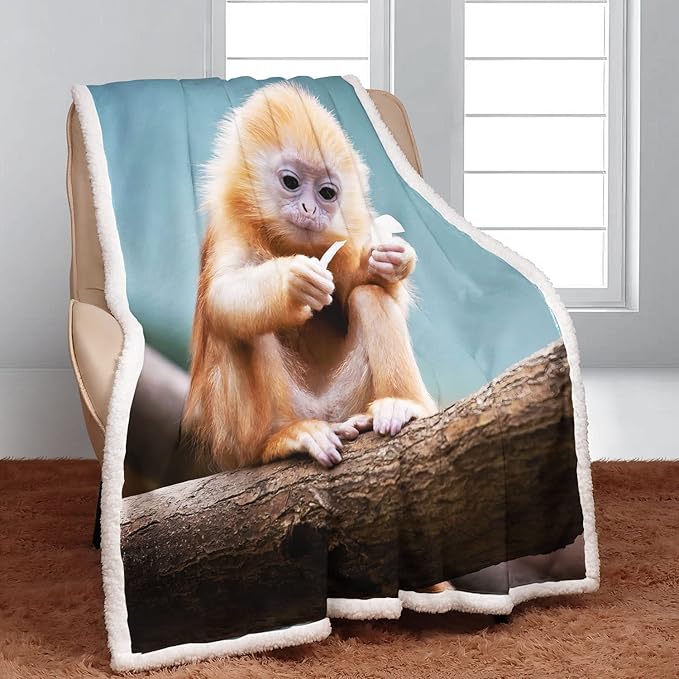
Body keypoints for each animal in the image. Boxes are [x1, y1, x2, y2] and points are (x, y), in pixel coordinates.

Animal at [182, 81, 437, 473]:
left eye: (327, 193)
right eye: (291, 182)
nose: (309, 208)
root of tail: (325, 413)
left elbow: (359, 289)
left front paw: (391, 260)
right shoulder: (230, 230)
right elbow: (222, 297)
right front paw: (293, 283)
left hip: (348, 398)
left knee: (368, 296)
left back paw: (403, 404)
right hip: (235, 442)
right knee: (242, 326)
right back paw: (283, 437)